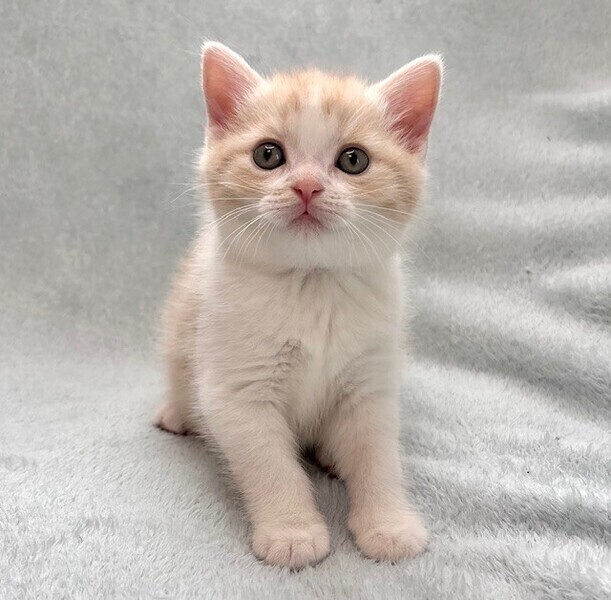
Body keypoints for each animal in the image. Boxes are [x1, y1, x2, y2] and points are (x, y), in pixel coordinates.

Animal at [154, 42, 442, 568]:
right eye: (268, 155)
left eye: (354, 160)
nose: (307, 186)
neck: (312, 287)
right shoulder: (237, 390)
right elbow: (270, 464)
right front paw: (292, 532)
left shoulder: (372, 382)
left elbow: (378, 455)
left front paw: (389, 525)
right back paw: (177, 415)